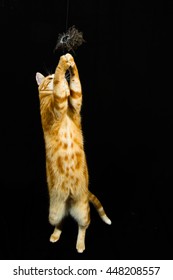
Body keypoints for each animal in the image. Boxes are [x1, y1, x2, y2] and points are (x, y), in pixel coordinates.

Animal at [35, 53, 111, 253]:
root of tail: (69, 201)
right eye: (48, 78)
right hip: (54, 212)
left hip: (82, 209)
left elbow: (76, 86)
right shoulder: (56, 108)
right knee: (60, 222)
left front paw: (70, 64)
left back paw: (80, 244)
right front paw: (63, 65)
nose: (60, 78)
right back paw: (55, 235)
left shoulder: (75, 103)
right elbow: (60, 89)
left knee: (83, 226)